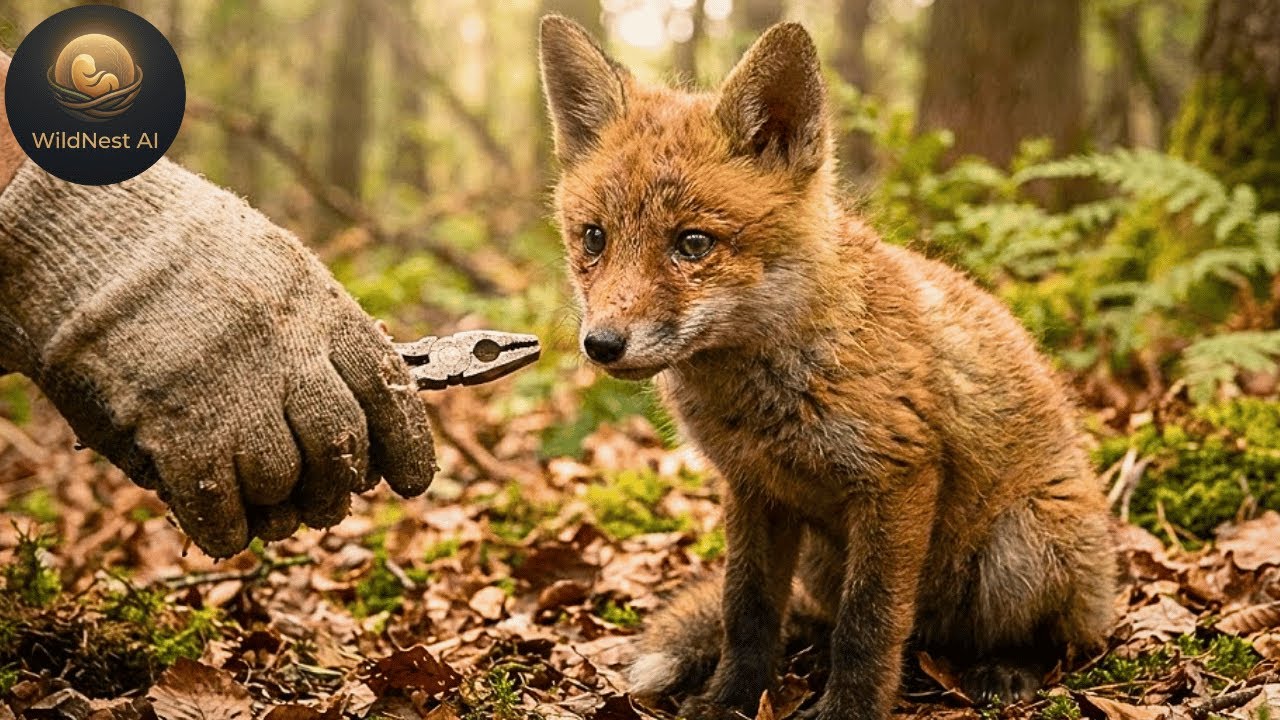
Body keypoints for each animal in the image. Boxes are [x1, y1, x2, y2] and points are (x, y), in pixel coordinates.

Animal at [539, 16, 1116, 720]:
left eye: (693, 244)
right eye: (594, 238)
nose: (601, 344)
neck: (766, 394)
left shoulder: (898, 477)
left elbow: (868, 624)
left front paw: (850, 708)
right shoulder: (753, 490)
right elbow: (747, 614)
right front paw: (730, 701)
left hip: (1020, 548)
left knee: (1054, 639)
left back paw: (1008, 669)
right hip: (824, 561)